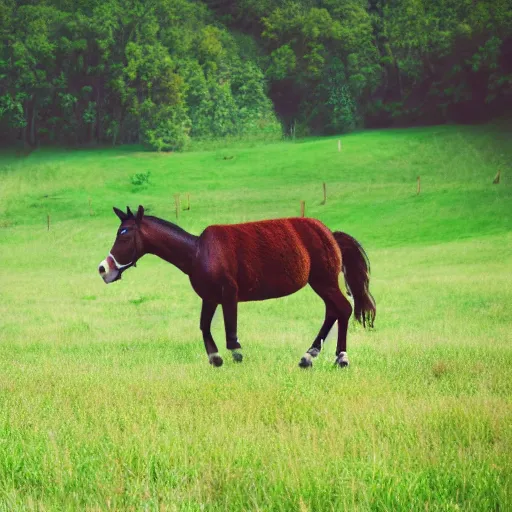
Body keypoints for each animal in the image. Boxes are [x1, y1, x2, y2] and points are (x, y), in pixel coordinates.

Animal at [97, 205, 376, 368]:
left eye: (124, 233)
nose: (103, 269)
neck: (198, 252)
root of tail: (331, 234)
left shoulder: (229, 293)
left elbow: (231, 328)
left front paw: (235, 353)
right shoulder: (210, 297)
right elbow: (204, 326)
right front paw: (215, 357)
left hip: (323, 281)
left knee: (342, 309)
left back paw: (341, 357)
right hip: (321, 282)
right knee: (333, 311)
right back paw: (309, 355)